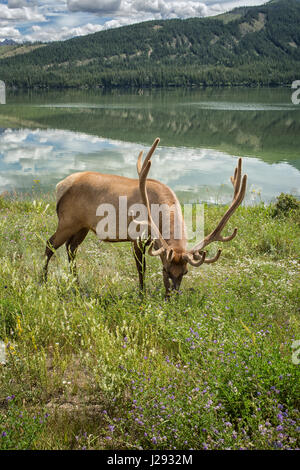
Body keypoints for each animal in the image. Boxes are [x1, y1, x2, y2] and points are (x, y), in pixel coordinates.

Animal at [43, 138, 247, 296]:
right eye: (165, 270)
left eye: (186, 272)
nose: (172, 297)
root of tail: (60, 185)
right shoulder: (137, 236)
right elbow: (141, 268)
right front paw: (142, 294)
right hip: (67, 221)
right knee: (50, 244)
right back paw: (43, 281)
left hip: (82, 226)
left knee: (71, 249)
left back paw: (76, 284)